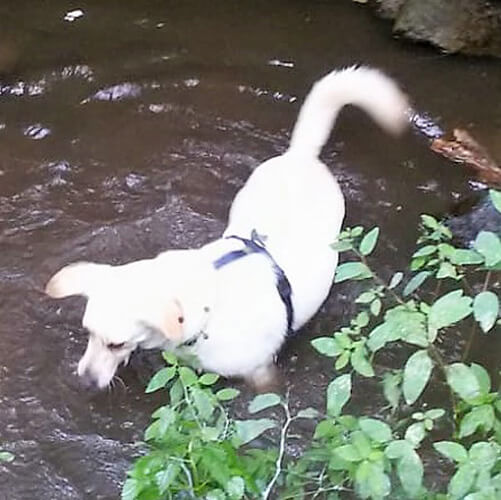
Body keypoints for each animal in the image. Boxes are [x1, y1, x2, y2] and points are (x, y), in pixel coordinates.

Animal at [45, 67, 409, 390]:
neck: (210, 305)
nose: (84, 382)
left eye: (116, 344)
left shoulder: (260, 374)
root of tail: (301, 155)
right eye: (88, 332)